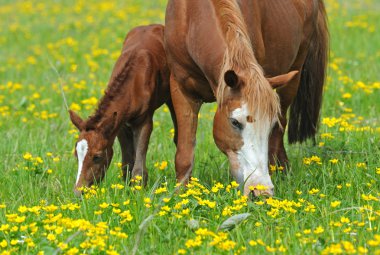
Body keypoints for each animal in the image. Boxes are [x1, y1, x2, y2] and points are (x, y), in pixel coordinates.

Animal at [69, 24, 176, 195]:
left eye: (97, 156)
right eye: (76, 154)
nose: (79, 192)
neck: (134, 83)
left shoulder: (144, 121)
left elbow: (138, 167)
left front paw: (138, 192)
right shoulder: (119, 124)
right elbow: (127, 164)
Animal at [165, 0, 328, 196]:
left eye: (269, 124)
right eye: (235, 122)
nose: (261, 191)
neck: (194, 17)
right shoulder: (181, 89)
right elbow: (184, 152)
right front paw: (181, 194)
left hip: (293, 75)